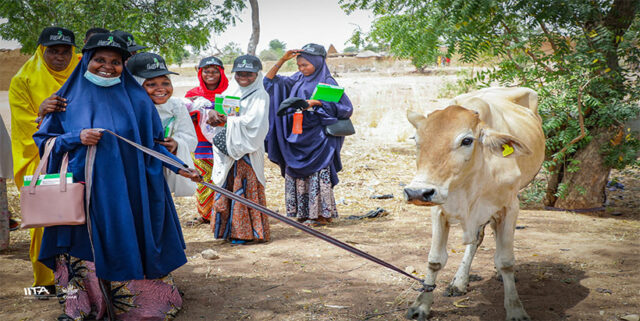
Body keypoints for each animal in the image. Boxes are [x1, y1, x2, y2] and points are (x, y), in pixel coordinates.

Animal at [404, 86, 544, 318]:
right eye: (416, 139)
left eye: (467, 140)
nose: (417, 192)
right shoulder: (439, 210)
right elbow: (435, 260)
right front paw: (421, 305)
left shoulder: (510, 207)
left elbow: (506, 261)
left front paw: (515, 309)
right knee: (477, 239)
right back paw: (459, 282)